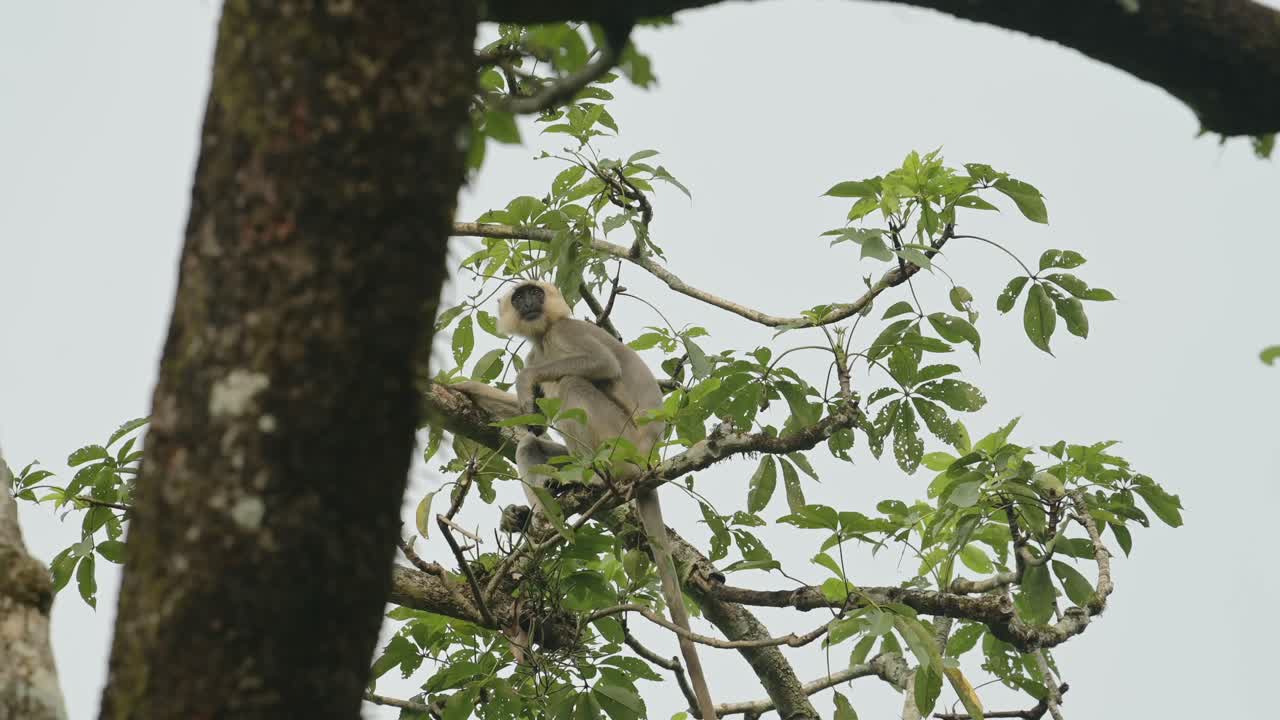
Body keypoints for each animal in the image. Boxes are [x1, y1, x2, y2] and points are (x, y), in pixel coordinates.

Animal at [453, 280, 718, 719]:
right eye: (521, 298)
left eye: (534, 294)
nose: (530, 303)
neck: (545, 336)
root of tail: (649, 457)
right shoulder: (536, 348)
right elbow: (526, 418)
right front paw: (463, 387)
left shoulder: (568, 331)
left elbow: (601, 364)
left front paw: (524, 379)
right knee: (529, 444)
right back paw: (536, 515)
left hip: (620, 441)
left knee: (572, 384)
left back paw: (589, 478)